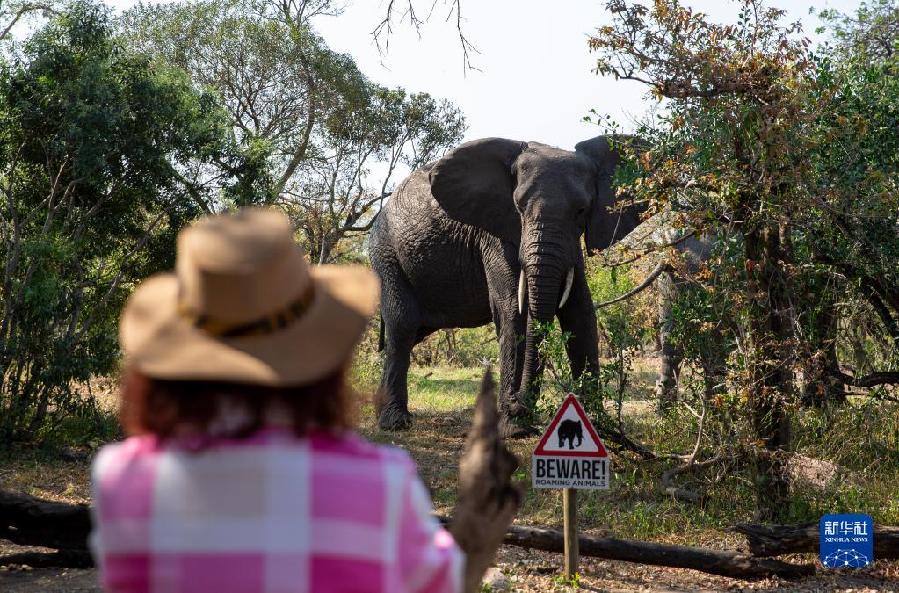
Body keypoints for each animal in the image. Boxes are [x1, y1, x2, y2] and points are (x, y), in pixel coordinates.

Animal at [370, 138, 644, 434]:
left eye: (581, 210)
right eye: (519, 207)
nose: (518, 405)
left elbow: (580, 312)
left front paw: (597, 425)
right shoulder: (492, 235)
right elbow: (514, 308)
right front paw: (515, 428)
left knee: (412, 333)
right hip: (385, 254)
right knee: (403, 325)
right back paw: (394, 422)